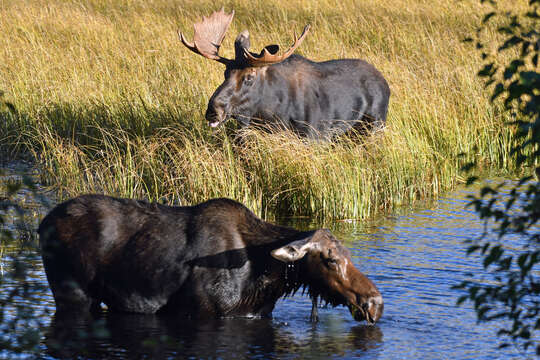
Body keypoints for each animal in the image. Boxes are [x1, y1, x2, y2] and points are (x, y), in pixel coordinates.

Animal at [38, 195, 384, 322]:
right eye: (330, 259)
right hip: (73, 294)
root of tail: (42, 223)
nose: (374, 303)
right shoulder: (198, 311)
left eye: (348, 254)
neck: (264, 280)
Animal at [179, 9, 390, 139]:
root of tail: (385, 83)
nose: (213, 110)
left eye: (249, 77)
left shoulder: (316, 136)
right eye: (225, 73)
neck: (270, 112)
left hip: (375, 124)